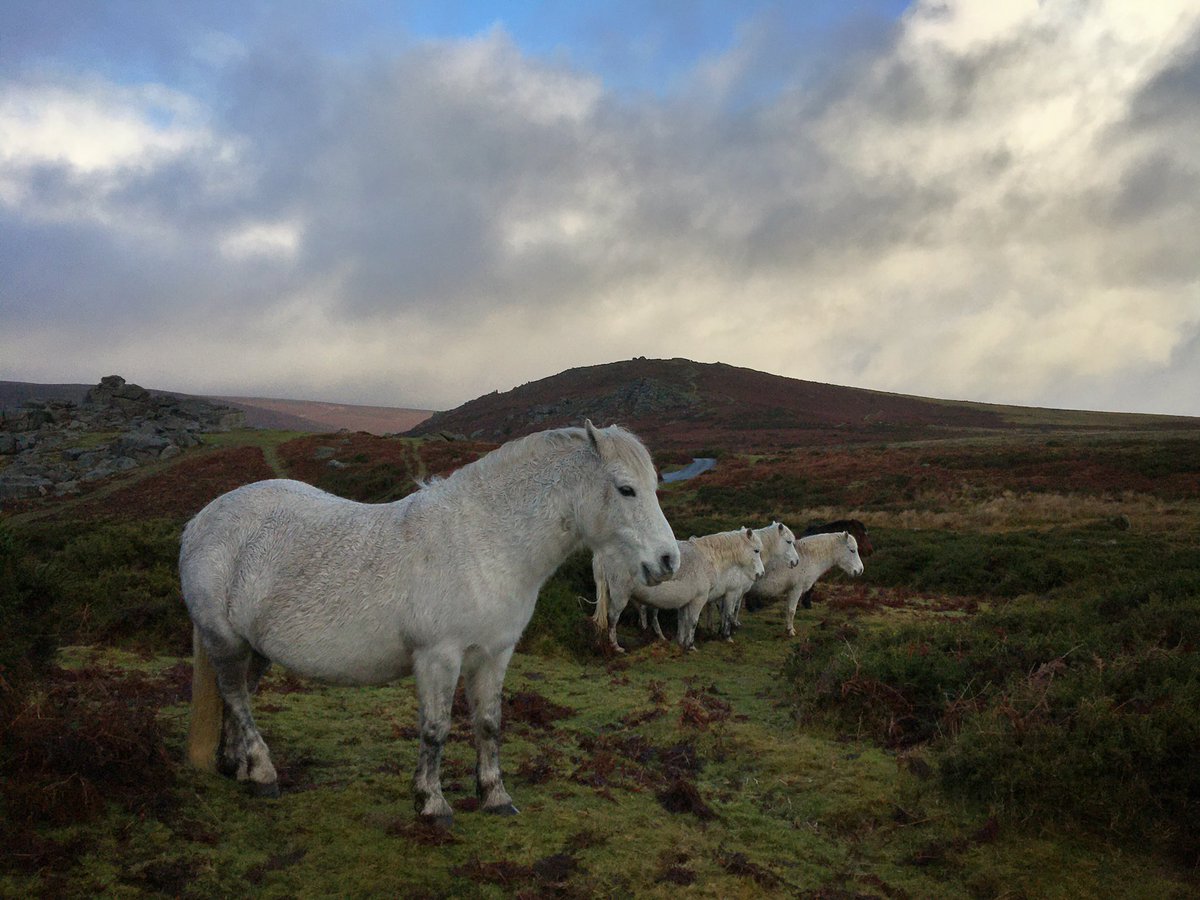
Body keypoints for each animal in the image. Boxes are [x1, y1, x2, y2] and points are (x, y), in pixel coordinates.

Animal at [182, 422, 681, 825]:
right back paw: (264, 772)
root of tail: (202, 519)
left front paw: (495, 797)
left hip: (256, 648)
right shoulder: (438, 657)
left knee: (239, 696)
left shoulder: (494, 655)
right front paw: (432, 803)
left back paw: (240, 767)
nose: (668, 561)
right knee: (235, 695)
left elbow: (489, 724)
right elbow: (436, 729)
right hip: (225, 640)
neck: (486, 544)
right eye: (626, 489)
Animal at [592, 525, 763, 652]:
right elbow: (693, 621)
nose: (760, 574)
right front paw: (691, 646)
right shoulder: (701, 599)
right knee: (613, 618)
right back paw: (615, 646)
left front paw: (681, 643)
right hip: (620, 596)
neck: (707, 557)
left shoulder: (687, 601)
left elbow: (684, 621)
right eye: (756, 550)